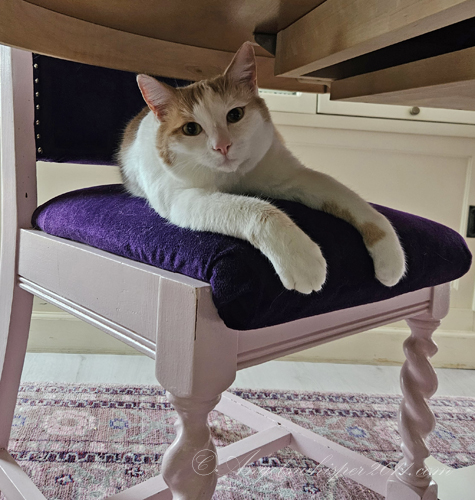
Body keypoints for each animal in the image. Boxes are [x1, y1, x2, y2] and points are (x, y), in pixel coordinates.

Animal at [118, 42, 406, 294]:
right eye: (191, 129)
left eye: (235, 115)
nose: (222, 146)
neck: (232, 176)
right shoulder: (183, 199)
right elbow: (259, 210)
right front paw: (300, 258)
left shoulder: (294, 176)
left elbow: (355, 202)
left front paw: (390, 256)